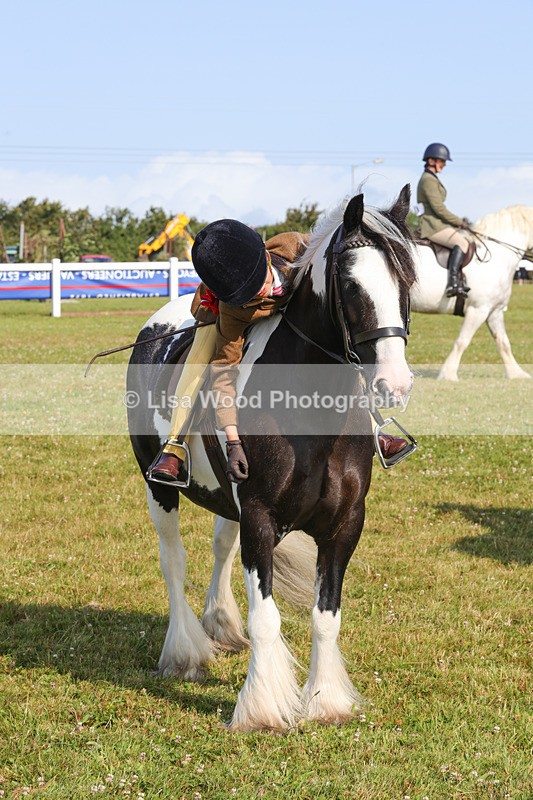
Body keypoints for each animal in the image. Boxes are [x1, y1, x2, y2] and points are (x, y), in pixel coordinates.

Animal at [127, 185, 416, 731]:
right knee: (172, 560)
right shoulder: (260, 517)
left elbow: (326, 619)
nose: (395, 384)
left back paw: (220, 625)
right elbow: (266, 618)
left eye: (408, 279)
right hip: (158, 489)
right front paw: (260, 707)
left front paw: (325, 701)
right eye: (351, 286)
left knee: (220, 548)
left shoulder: (344, 525)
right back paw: (185, 653)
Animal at [411, 205, 533, 381]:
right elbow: (463, 341)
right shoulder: (478, 310)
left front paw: (517, 373)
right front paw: (448, 374)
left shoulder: (494, 311)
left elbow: (503, 342)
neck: (497, 255)